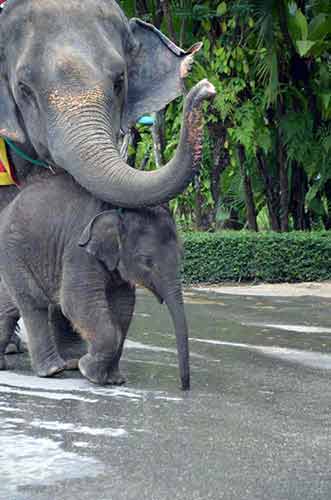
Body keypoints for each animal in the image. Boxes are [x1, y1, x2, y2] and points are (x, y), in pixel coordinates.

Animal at [0, 174, 191, 388]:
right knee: (34, 302)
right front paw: (88, 370)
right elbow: (75, 302)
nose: (184, 387)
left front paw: (114, 379)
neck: (117, 214)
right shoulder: (78, 252)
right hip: (13, 251)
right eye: (146, 261)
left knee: (10, 306)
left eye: (182, 254)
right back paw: (53, 370)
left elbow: (124, 307)